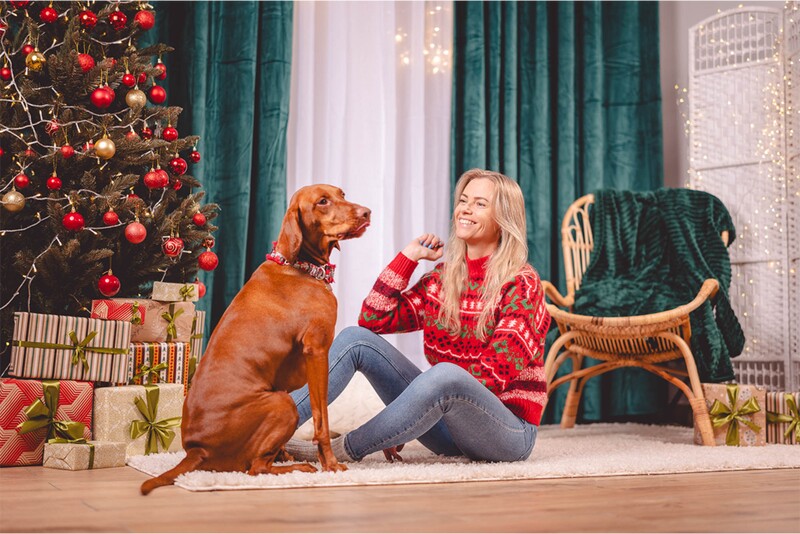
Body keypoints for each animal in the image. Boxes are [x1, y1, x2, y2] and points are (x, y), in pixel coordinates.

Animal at [141, 186, 372, 496]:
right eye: (322, 201)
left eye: (342, 194)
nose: (366, 212)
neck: (299, 265)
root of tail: (196, 449)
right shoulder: (317, 351)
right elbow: (321, 418)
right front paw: (331, 464)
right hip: (282, 403)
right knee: (255, 469)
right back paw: (297, 468)